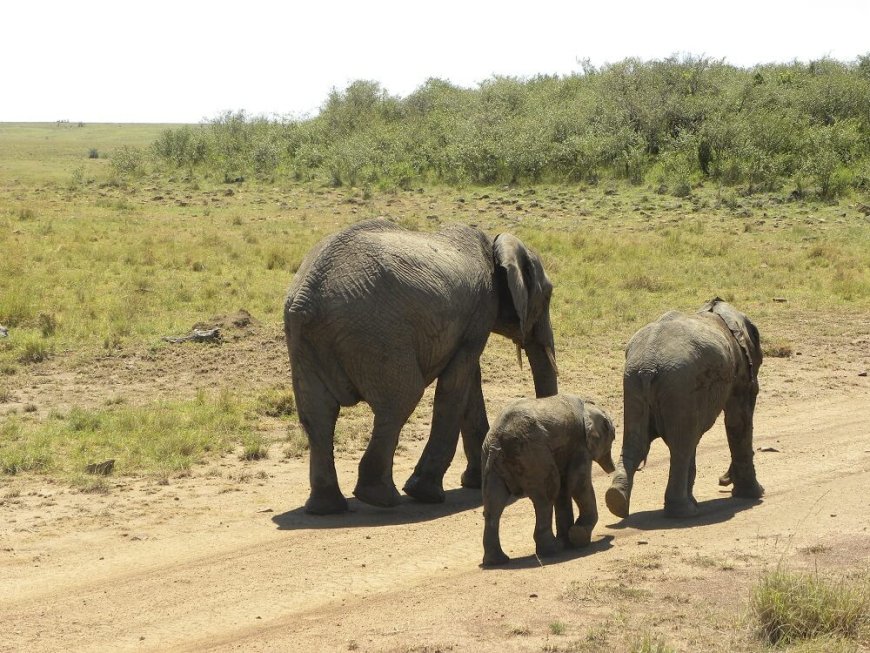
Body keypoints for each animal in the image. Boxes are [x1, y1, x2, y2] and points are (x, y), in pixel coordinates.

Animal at [286, 219, 560, 516]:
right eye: (548, 296)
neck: (494, 244)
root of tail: (308, 297)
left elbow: (468, 384)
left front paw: (475, 482)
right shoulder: (481, 309)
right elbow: (456, 385)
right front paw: (427, 493)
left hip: (305, 344)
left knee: (318, 417)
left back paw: (327, 508)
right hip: (378, 336)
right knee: (400, 402)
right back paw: (381, 498)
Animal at [480, 392, 616, 564]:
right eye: (613, 438)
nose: (613, 469)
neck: (588, 406)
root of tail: (497, 442)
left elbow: (566, 486)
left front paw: (570, 539)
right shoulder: (580, 444)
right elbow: (577, 484)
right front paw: (579, 537)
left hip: (491, 463)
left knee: (493, 506)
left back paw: (497, 561)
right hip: (532, 454)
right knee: (546, 496)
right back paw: (552, 549)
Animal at [608, 296, 764, 520]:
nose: (722, 480)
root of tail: (648, 367)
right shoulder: (740, 372)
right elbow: (737, 421)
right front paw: (753, 494)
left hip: (634, 383)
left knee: (637, 443)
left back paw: (617, 501)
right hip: (679, 385)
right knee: (681, 447)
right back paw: (684, 512)